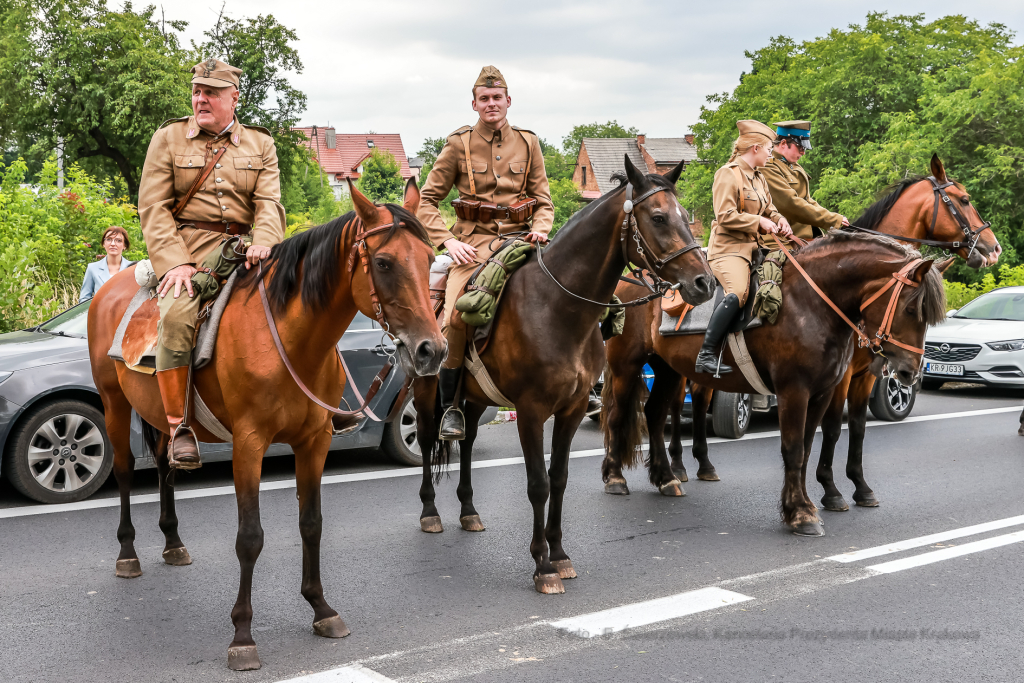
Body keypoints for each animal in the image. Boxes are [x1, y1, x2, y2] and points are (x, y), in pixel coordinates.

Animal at [84, 179, 444, 671]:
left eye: (429, 258)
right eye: (385, 262)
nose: (432, 350)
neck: (293, 342)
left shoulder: (314, 442)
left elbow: (311, 523)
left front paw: (321, 608)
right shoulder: (249, 446)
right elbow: (250, 537)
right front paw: (242, 634)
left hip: (158, 415)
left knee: (163, 465)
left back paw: (173, 541)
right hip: (114, 404)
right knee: (122, 472)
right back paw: (128, 552)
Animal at [413, 157, 712, 593]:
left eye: (687, 217)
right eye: (658, 217)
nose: (704, 283)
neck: (558, 307)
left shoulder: (571, 409)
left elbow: (559, 478)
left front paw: (559, 554)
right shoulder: (531, 412)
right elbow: (538, 483)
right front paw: (543, 566)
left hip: (476, 396)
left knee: (465, 440)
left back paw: (468, 510)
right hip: (424, 391)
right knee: (425, 437)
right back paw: (430, 511)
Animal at [602, 232, 946, 536]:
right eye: (911, 309)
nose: (910, 373)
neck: (809, 303)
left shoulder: (822, 393)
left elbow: (809, 447)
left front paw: (808, 503)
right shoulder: (795, 391)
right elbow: (794, 448)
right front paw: (801, 514)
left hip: (669, 370)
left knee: (655, 413)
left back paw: (666, 478)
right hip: (626, 367)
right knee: (618, 415)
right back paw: (616, 478)